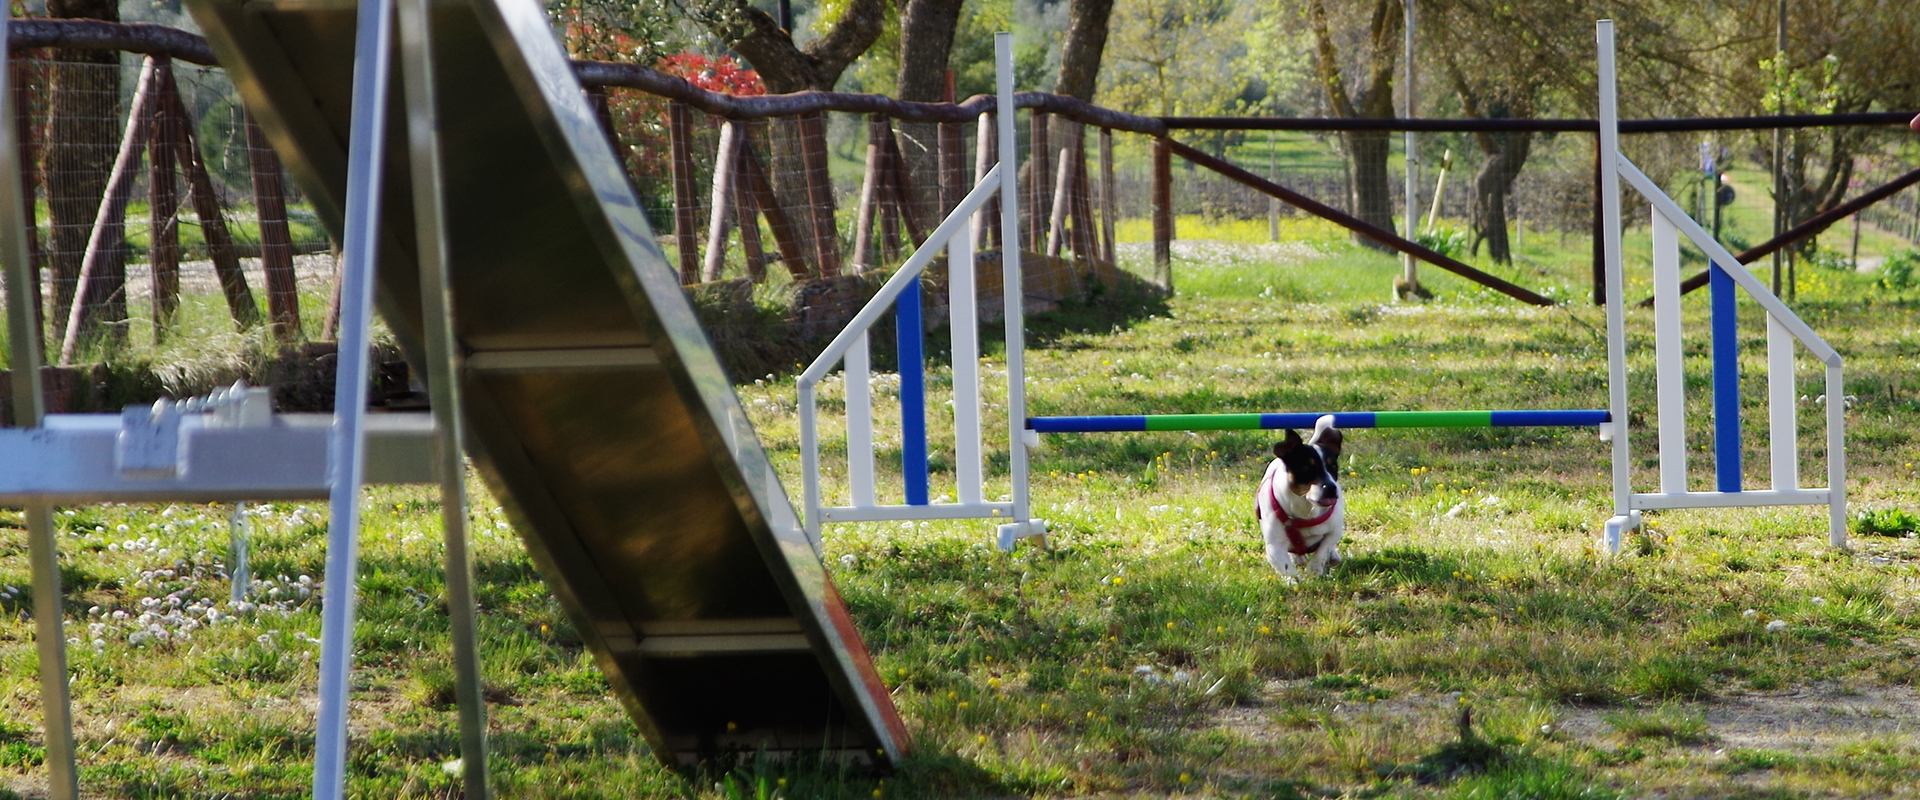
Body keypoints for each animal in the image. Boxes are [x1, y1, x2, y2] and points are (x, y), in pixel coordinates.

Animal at [1251, 414, 1344, 575]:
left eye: (1333, 467)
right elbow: (1286, 567)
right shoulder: (1274, 546)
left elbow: (1323, 549)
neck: (1305, 510)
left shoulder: (1334, 531)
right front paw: (1296, 579)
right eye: (1306, 467)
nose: (1331, 487)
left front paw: (1314, 571)